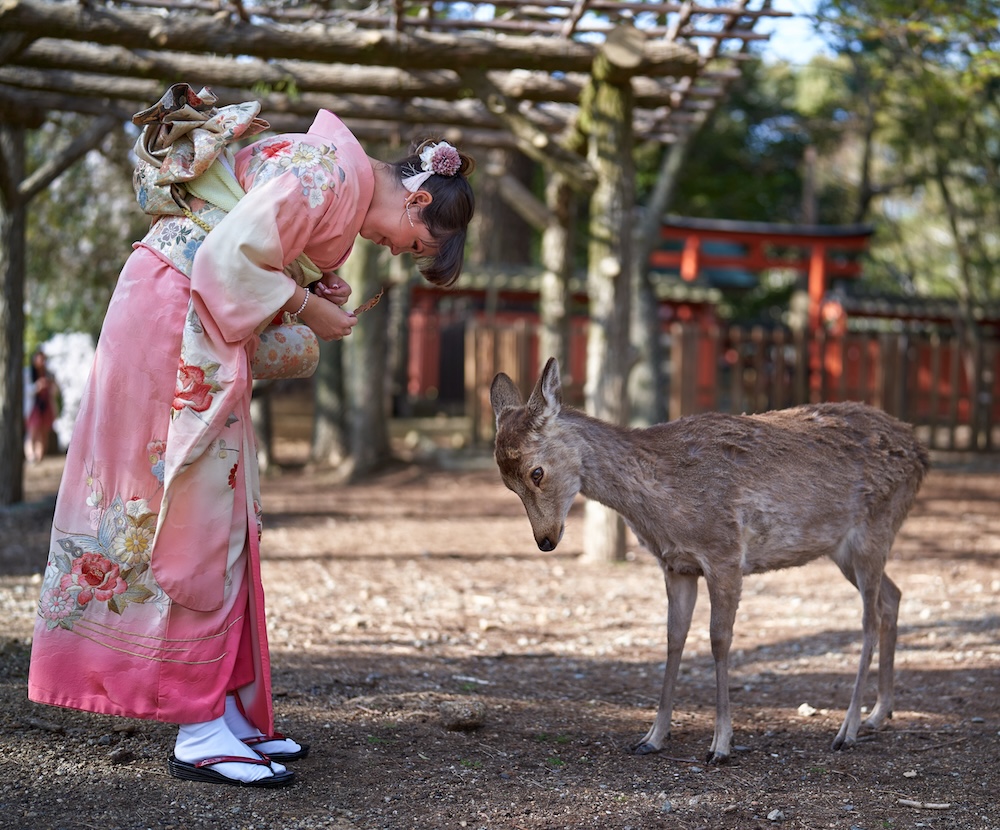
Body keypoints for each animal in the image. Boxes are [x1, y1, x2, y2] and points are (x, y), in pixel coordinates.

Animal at [490, 357, 930, 764]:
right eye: (507, 484)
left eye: (536, 472)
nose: (545, 540)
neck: (663, 504)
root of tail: (920, 451)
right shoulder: (676, 565)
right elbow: (674, 638)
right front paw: (652, 737)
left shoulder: (725, 554)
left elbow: (719, 640)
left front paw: (721, 744)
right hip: (844, 550)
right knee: (893, 596)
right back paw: (879, 714)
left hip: (873, 530)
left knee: (869, 618)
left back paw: (847, 730)